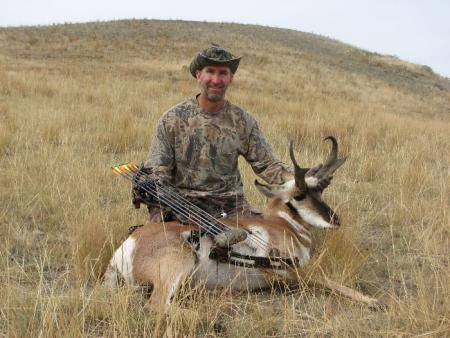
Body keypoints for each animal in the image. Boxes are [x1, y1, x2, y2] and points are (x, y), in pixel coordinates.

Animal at [104, 137, 384, 308]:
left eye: (321, 191)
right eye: (299, 195)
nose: (334, 220)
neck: (284, 225)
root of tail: (127, 245)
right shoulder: (291, 271)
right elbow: (331, 281)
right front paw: (374, 301)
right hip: (177, 265)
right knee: (157, 306)